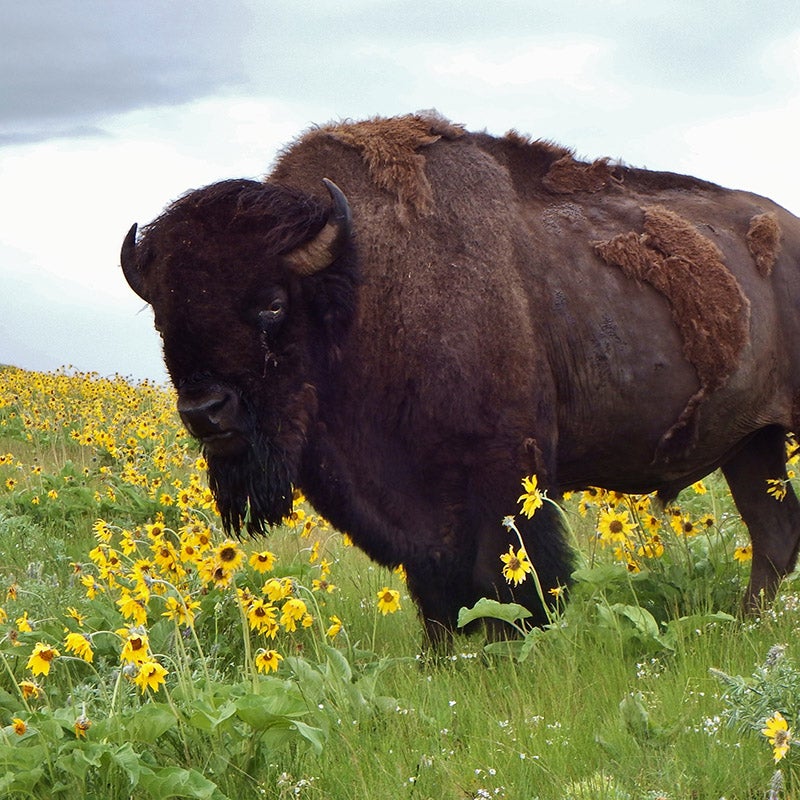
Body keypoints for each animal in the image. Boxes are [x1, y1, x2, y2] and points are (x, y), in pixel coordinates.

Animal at [120, 112, 800, 640]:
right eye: (162, 315)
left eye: (271, 304)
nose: (204, 412)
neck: (360, 288)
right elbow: (438, 594)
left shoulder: (506, 474)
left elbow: (514, 580)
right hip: (751, 444)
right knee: (774, 534)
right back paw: (748, 628)